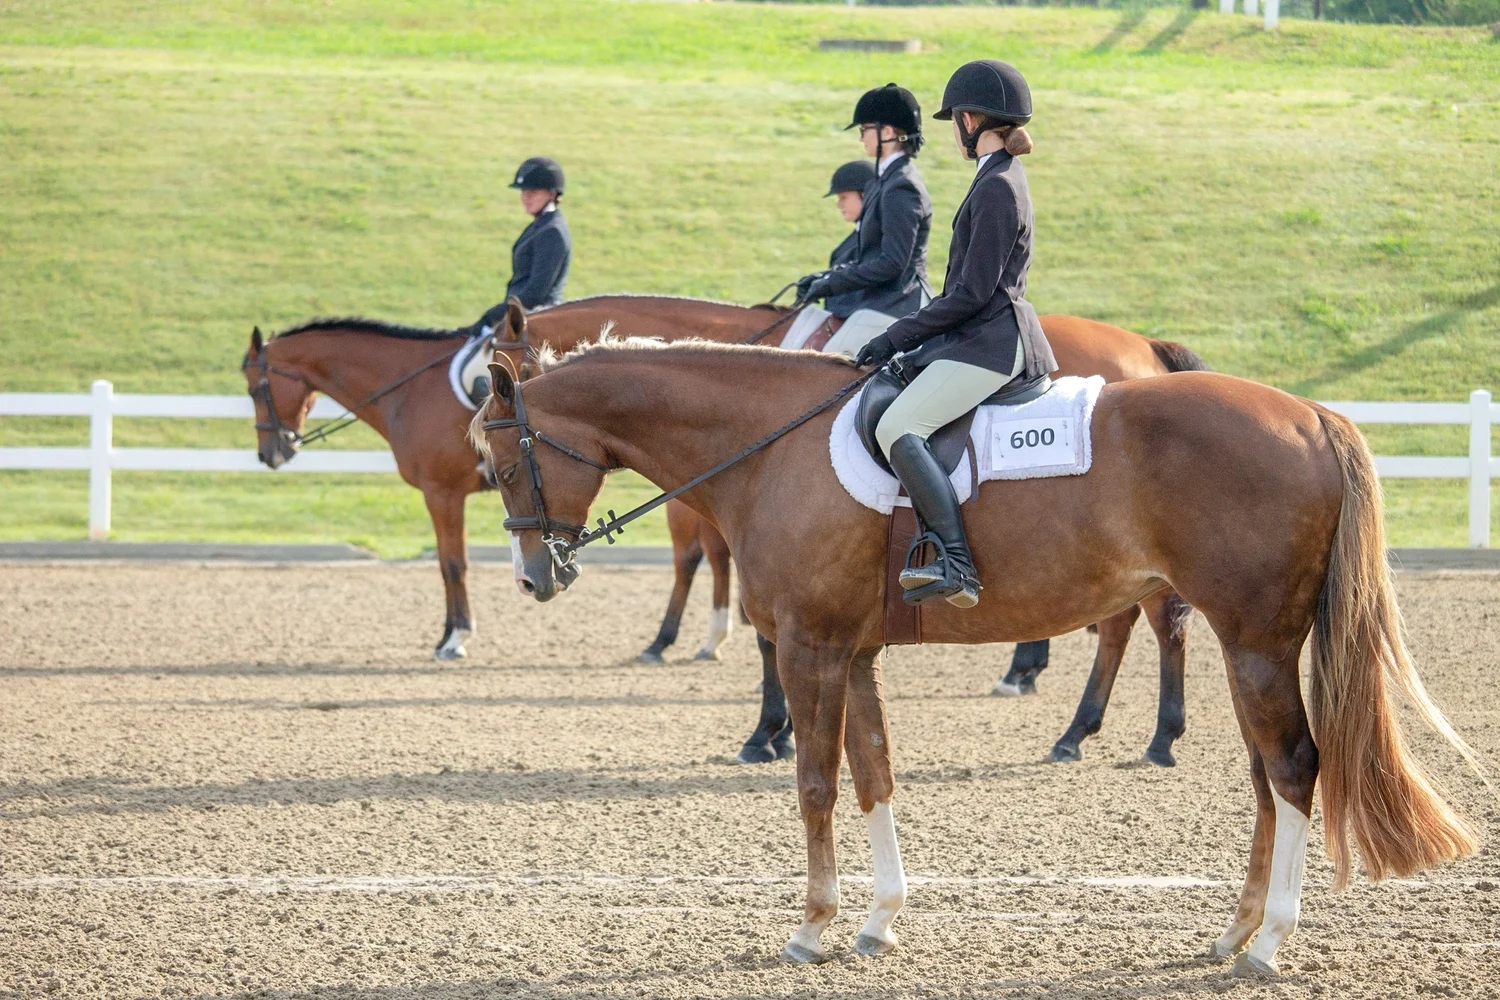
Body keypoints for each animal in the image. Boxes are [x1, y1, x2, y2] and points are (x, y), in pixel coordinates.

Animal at [472, 339, 1478, 973]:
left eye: (505, 462)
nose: (531, 577)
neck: (771, 449)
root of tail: (1309, 415)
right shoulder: (854, 652)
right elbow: (873, 775)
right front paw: (878, 921)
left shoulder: (809, 648)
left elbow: (814, 784)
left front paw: (813, 926)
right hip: (1246, 645)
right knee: (1266, 777)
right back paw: (1233, 933)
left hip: (1257, 641)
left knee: (1295, 767)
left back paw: (1267, 945)